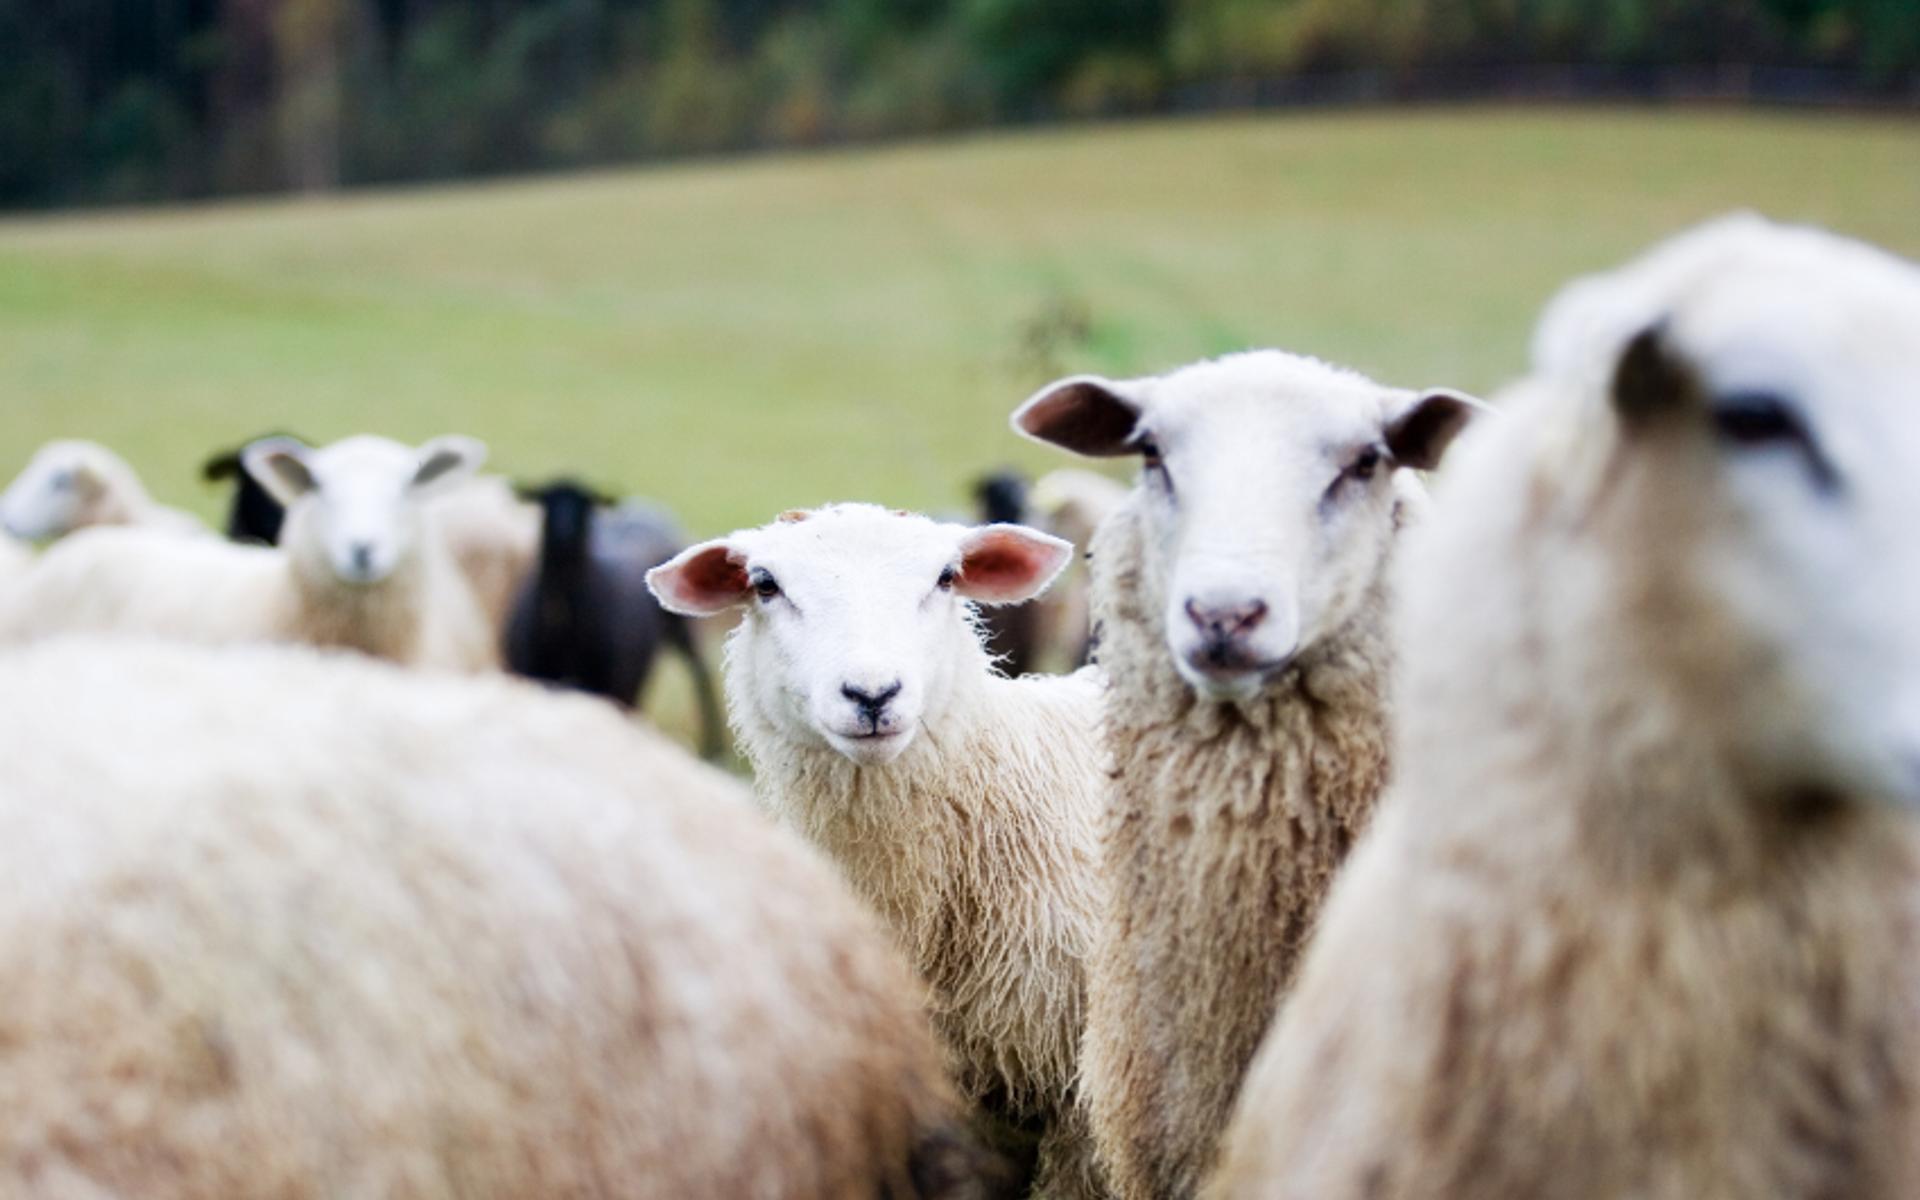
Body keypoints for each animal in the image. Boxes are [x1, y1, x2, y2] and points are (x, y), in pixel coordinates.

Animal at [506, 480, 725, 758]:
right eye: (546, 501)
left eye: (585, 504)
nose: (564, 533)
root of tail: (642, 507)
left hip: (680, 626)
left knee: (700, 674)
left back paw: (713, 746)